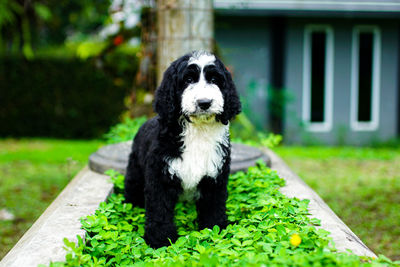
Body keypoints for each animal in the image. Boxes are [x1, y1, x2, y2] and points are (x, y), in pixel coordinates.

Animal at [124, 50, 241, 249]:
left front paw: (215, 231)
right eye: (188, 80)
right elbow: (159, 209)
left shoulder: (215, 175)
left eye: (214, 79)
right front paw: (161, 240)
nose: (204, 102)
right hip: (135, 172)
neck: (198, 131)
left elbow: (214, 206)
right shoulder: (160, 175)